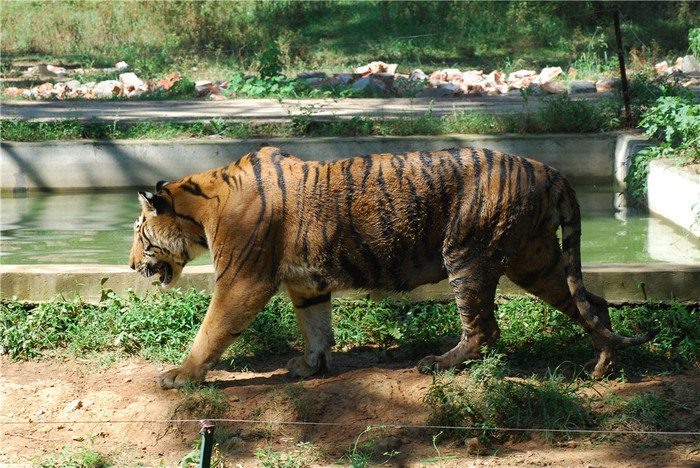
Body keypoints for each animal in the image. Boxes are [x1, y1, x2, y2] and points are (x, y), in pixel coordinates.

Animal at [129, 147, 660, 392]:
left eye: (139, 234)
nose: (133, 265)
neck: (200, 207)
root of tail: (545, 168)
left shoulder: (242, 280)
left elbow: (212, 329)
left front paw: (181, 375)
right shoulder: (306, 282)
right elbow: (315, 326)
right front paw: (310, 366)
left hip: (467, 254)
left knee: (484, 328)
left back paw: (438, 364)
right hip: (538, 260)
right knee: (593, 303)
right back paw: (604, 364)